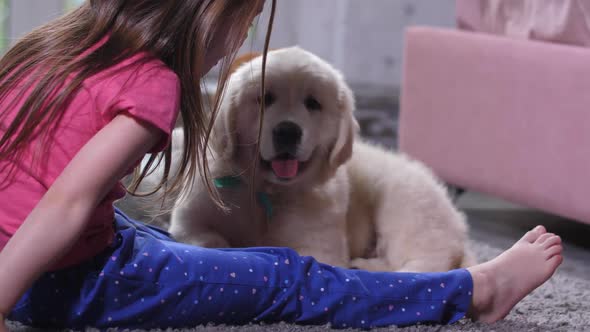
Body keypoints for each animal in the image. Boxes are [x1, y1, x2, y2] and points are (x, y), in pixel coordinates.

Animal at [163, 46, 476, 272]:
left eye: (312, 103)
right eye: (265, 98)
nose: (287, 131)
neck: (268, 191)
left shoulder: (319, 246)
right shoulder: (189, 220)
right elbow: (207, 238)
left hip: (405, 207)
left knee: (427, 264)